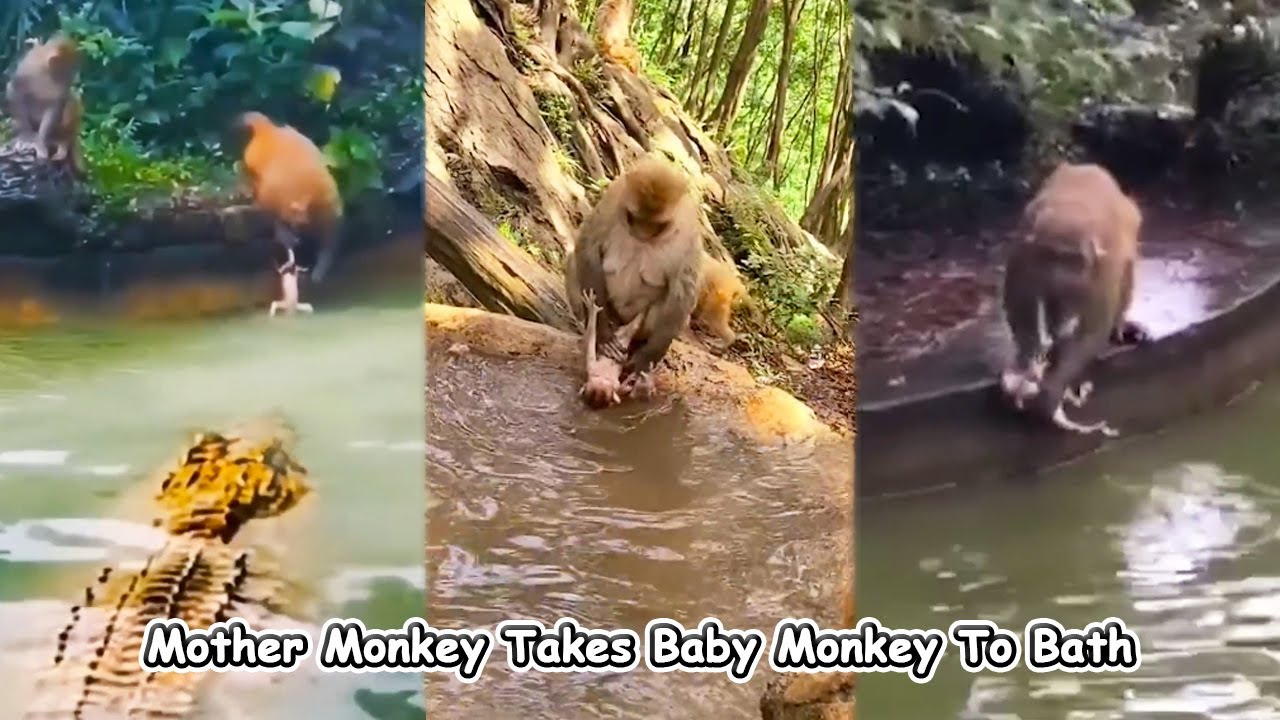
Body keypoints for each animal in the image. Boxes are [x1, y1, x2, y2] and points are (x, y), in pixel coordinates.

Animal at [6, 34, 80, 165]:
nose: (72, 77)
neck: (46, 71)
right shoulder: (29, 72)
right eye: (68, 69)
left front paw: (40, 143)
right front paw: (27, 138)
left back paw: (62, 142)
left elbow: (57, 103)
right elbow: (14, 90)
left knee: (70, 100)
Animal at [564, 155, 702, 408]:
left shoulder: (689, 231)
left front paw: (648, 358)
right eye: (634, 217)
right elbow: (588, 247)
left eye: (657, 225)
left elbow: (683, 291)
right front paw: (602, 331)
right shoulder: (613, 199)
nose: (642, 233)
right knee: (574, 261)